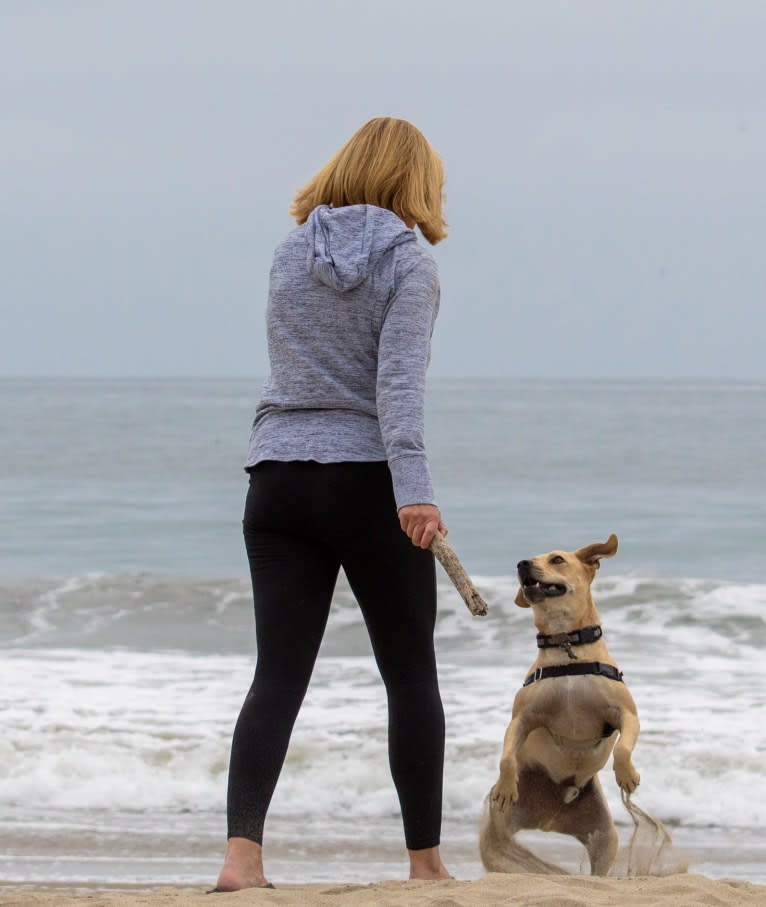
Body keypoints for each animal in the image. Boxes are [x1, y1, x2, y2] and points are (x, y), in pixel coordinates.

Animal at [486, 536, 640, 876]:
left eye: (556, 559)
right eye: (530, 557)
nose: (522, 564)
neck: (566, 643)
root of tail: (549, 817)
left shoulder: (626, 713)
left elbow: (622, 747)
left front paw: (626, 774)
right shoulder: (521, 719)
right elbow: (507, 757)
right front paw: (505, 786)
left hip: (604, 836)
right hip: (500, 836)